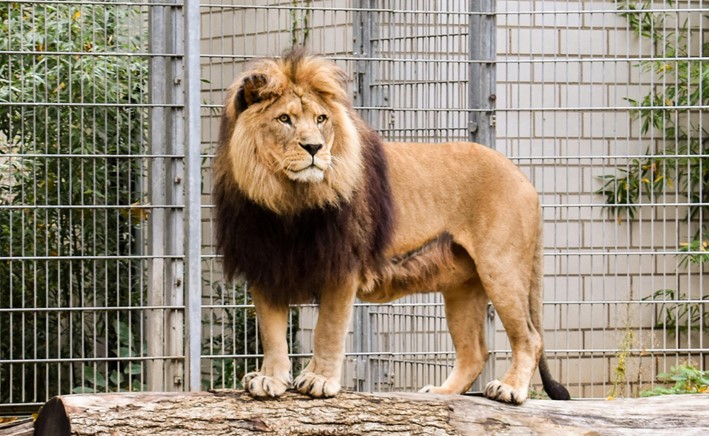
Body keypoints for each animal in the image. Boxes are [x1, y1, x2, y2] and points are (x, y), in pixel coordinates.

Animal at [214, 49, 570, 405]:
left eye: (321, 119)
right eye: (284, 119)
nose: (314, 148)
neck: (288, 199)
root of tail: (524, 178)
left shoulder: (342, 266)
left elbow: (328, 330)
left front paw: (319, 380)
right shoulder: (265, 265)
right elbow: (272, 333)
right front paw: (269, 379)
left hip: (501, 268)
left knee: (530, 337)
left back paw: (510, 388)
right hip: (463, 286)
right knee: (475, 352)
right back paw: (441, 392)